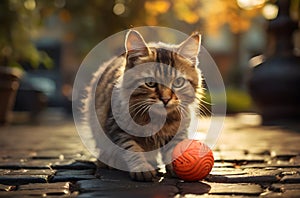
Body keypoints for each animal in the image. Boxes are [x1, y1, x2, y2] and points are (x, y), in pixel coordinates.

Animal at [87, 30, 204, 182]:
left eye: (178, 82)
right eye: (150, 83)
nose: (165, 99)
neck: (157, 119)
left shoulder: (178, 131)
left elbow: (174, 149)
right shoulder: (117, 127)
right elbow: (132, 148)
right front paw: (141, 167)